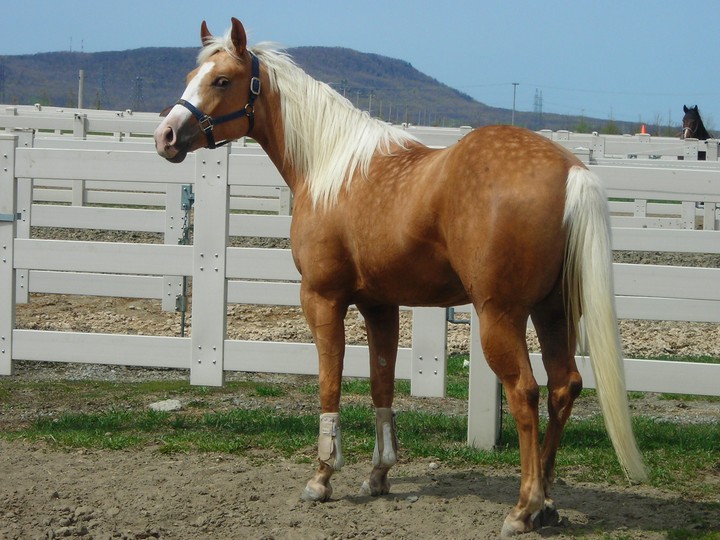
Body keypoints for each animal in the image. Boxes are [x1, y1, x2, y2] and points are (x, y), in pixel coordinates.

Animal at [154, 18, 647, 537]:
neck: (330, 169)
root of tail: (570, 170)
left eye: (221, 80)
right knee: (562, 387)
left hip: (501, 317)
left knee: (525, 393)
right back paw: (548, 500)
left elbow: (330, 383)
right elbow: (381, 383)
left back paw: (523, 507)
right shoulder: (380, 305)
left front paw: (321, 477)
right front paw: (379, 475)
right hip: (553, 312)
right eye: (192, 74)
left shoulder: (322, 299)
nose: (165, 136)